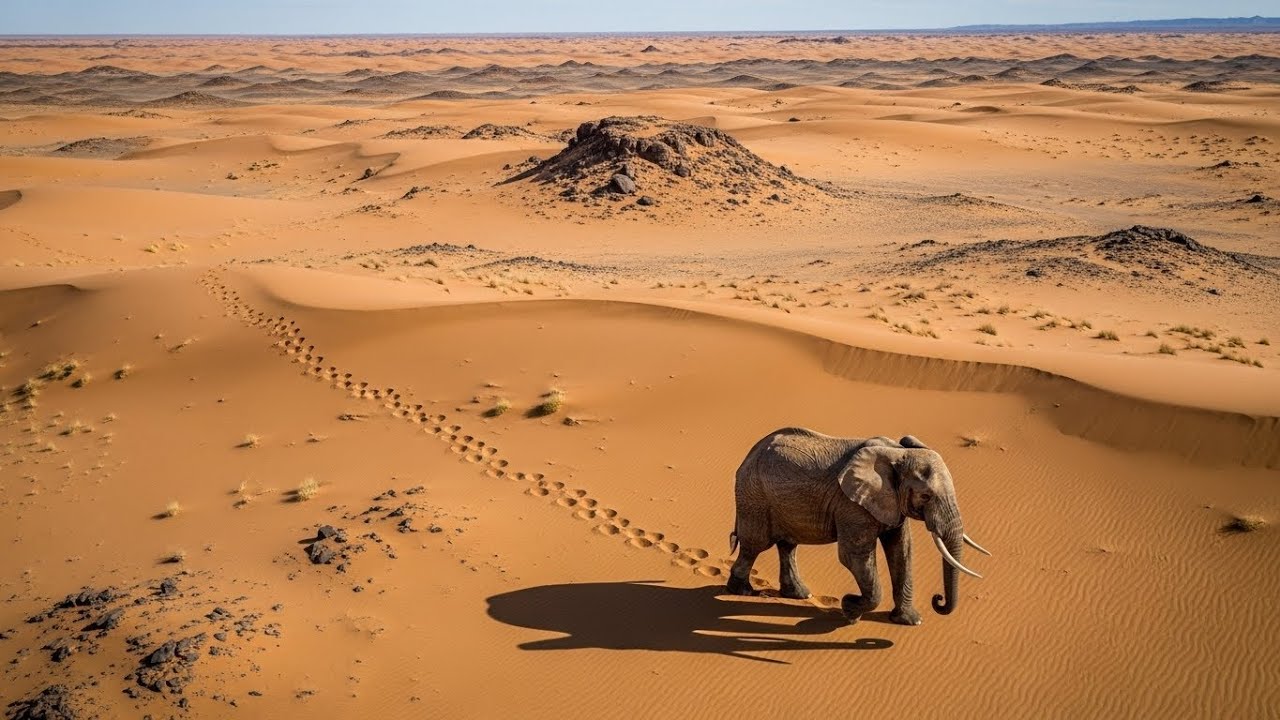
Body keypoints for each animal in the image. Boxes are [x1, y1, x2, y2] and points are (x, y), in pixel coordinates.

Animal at [727, 427, 988, 625]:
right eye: (926, 496)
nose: (938, 600)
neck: (897, 452)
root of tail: (750, 454)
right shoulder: (852, 505)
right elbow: (854, 556)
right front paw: (849, 609)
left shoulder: (891, 502)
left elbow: (901, 551)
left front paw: (910, 621)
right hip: (754, 495)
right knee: (755, 544)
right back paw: (741, 591)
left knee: (787, 545)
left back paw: (799, 594)